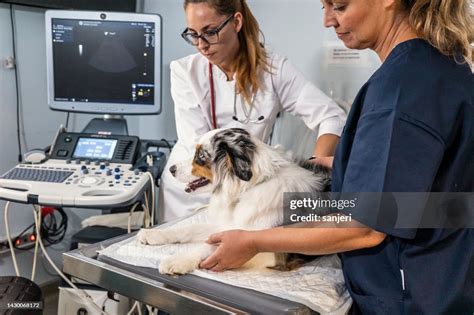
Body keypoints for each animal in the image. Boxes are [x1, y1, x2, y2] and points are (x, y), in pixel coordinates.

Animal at [137, 127, 330, 276]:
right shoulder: (228, 225)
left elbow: (212, 247)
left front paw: (178, 260)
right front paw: (152, 234)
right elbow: (188, 229)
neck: (249, 187)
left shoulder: (270, 252)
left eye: (201, 156)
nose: (171, 169)